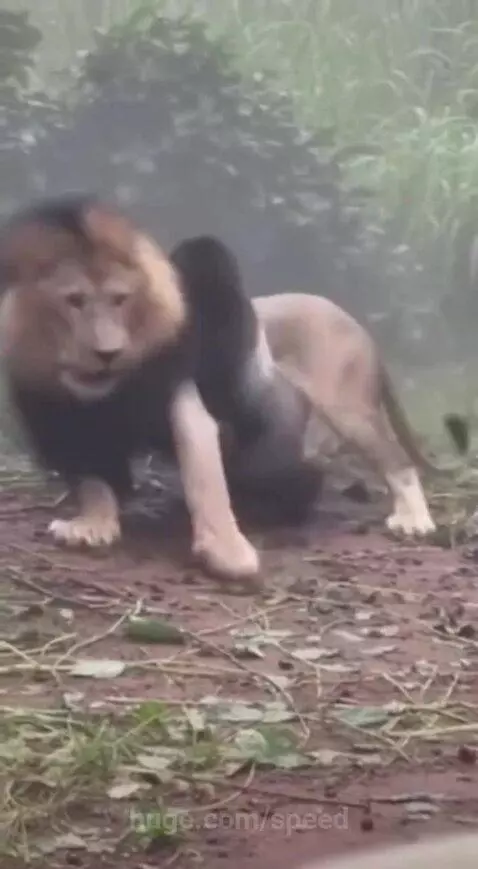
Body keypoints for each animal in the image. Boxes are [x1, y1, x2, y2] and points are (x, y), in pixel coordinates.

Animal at [0, 195, 310, 581]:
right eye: (74, 300)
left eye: (119, 299)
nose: (107, 353)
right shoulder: (44, 406)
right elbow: (91, 475)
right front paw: (91, 525)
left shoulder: (171, 369)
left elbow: (200, 450)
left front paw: (227, 548)